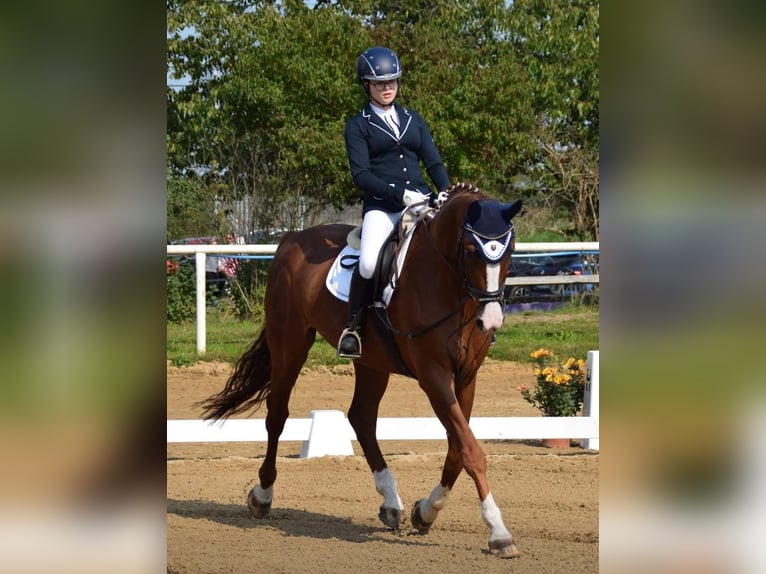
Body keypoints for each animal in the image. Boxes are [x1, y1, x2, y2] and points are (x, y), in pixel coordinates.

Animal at [201, 182, 523, 558]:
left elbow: (458, 448)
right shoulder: (434, 376)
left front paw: (425, 512)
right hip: (290, 344)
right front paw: (499, 533)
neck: (446, 283)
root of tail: (291, 239)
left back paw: (391, 502)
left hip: (371, 361)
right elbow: (471, 450)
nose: (492, 321)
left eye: (510, 250)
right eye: (472, 250)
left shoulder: (467, 376)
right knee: (277, 415)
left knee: (362, 417)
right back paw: (262, 495)